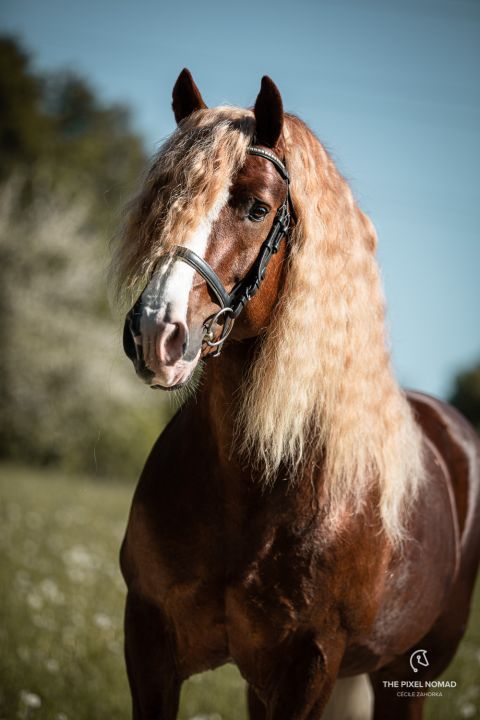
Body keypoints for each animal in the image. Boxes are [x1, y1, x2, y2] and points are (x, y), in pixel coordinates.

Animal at [113, 69, 480, 720]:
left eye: (257, 208)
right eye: (166, 199)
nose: (157, 331)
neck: (255, 483)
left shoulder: (308, 666)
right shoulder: (150, 643)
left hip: (406, 675)